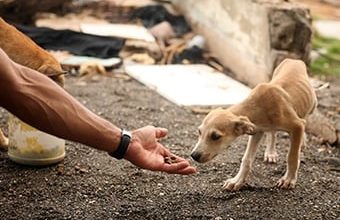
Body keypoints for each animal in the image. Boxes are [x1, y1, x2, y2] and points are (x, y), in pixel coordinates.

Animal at [193, 58, 318, 191]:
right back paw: (271, 152)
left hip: (312, 105)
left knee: (305, 117)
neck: (258, 105)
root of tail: (294, 59)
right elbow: (246, 159)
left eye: (216, 136)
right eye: (199, 132)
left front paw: (288, 179)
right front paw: (237, 181)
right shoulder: (257, 131)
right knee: (273, 133)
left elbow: (292, 157)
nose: (193, 155)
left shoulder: (297, 126)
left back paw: (302, 141)